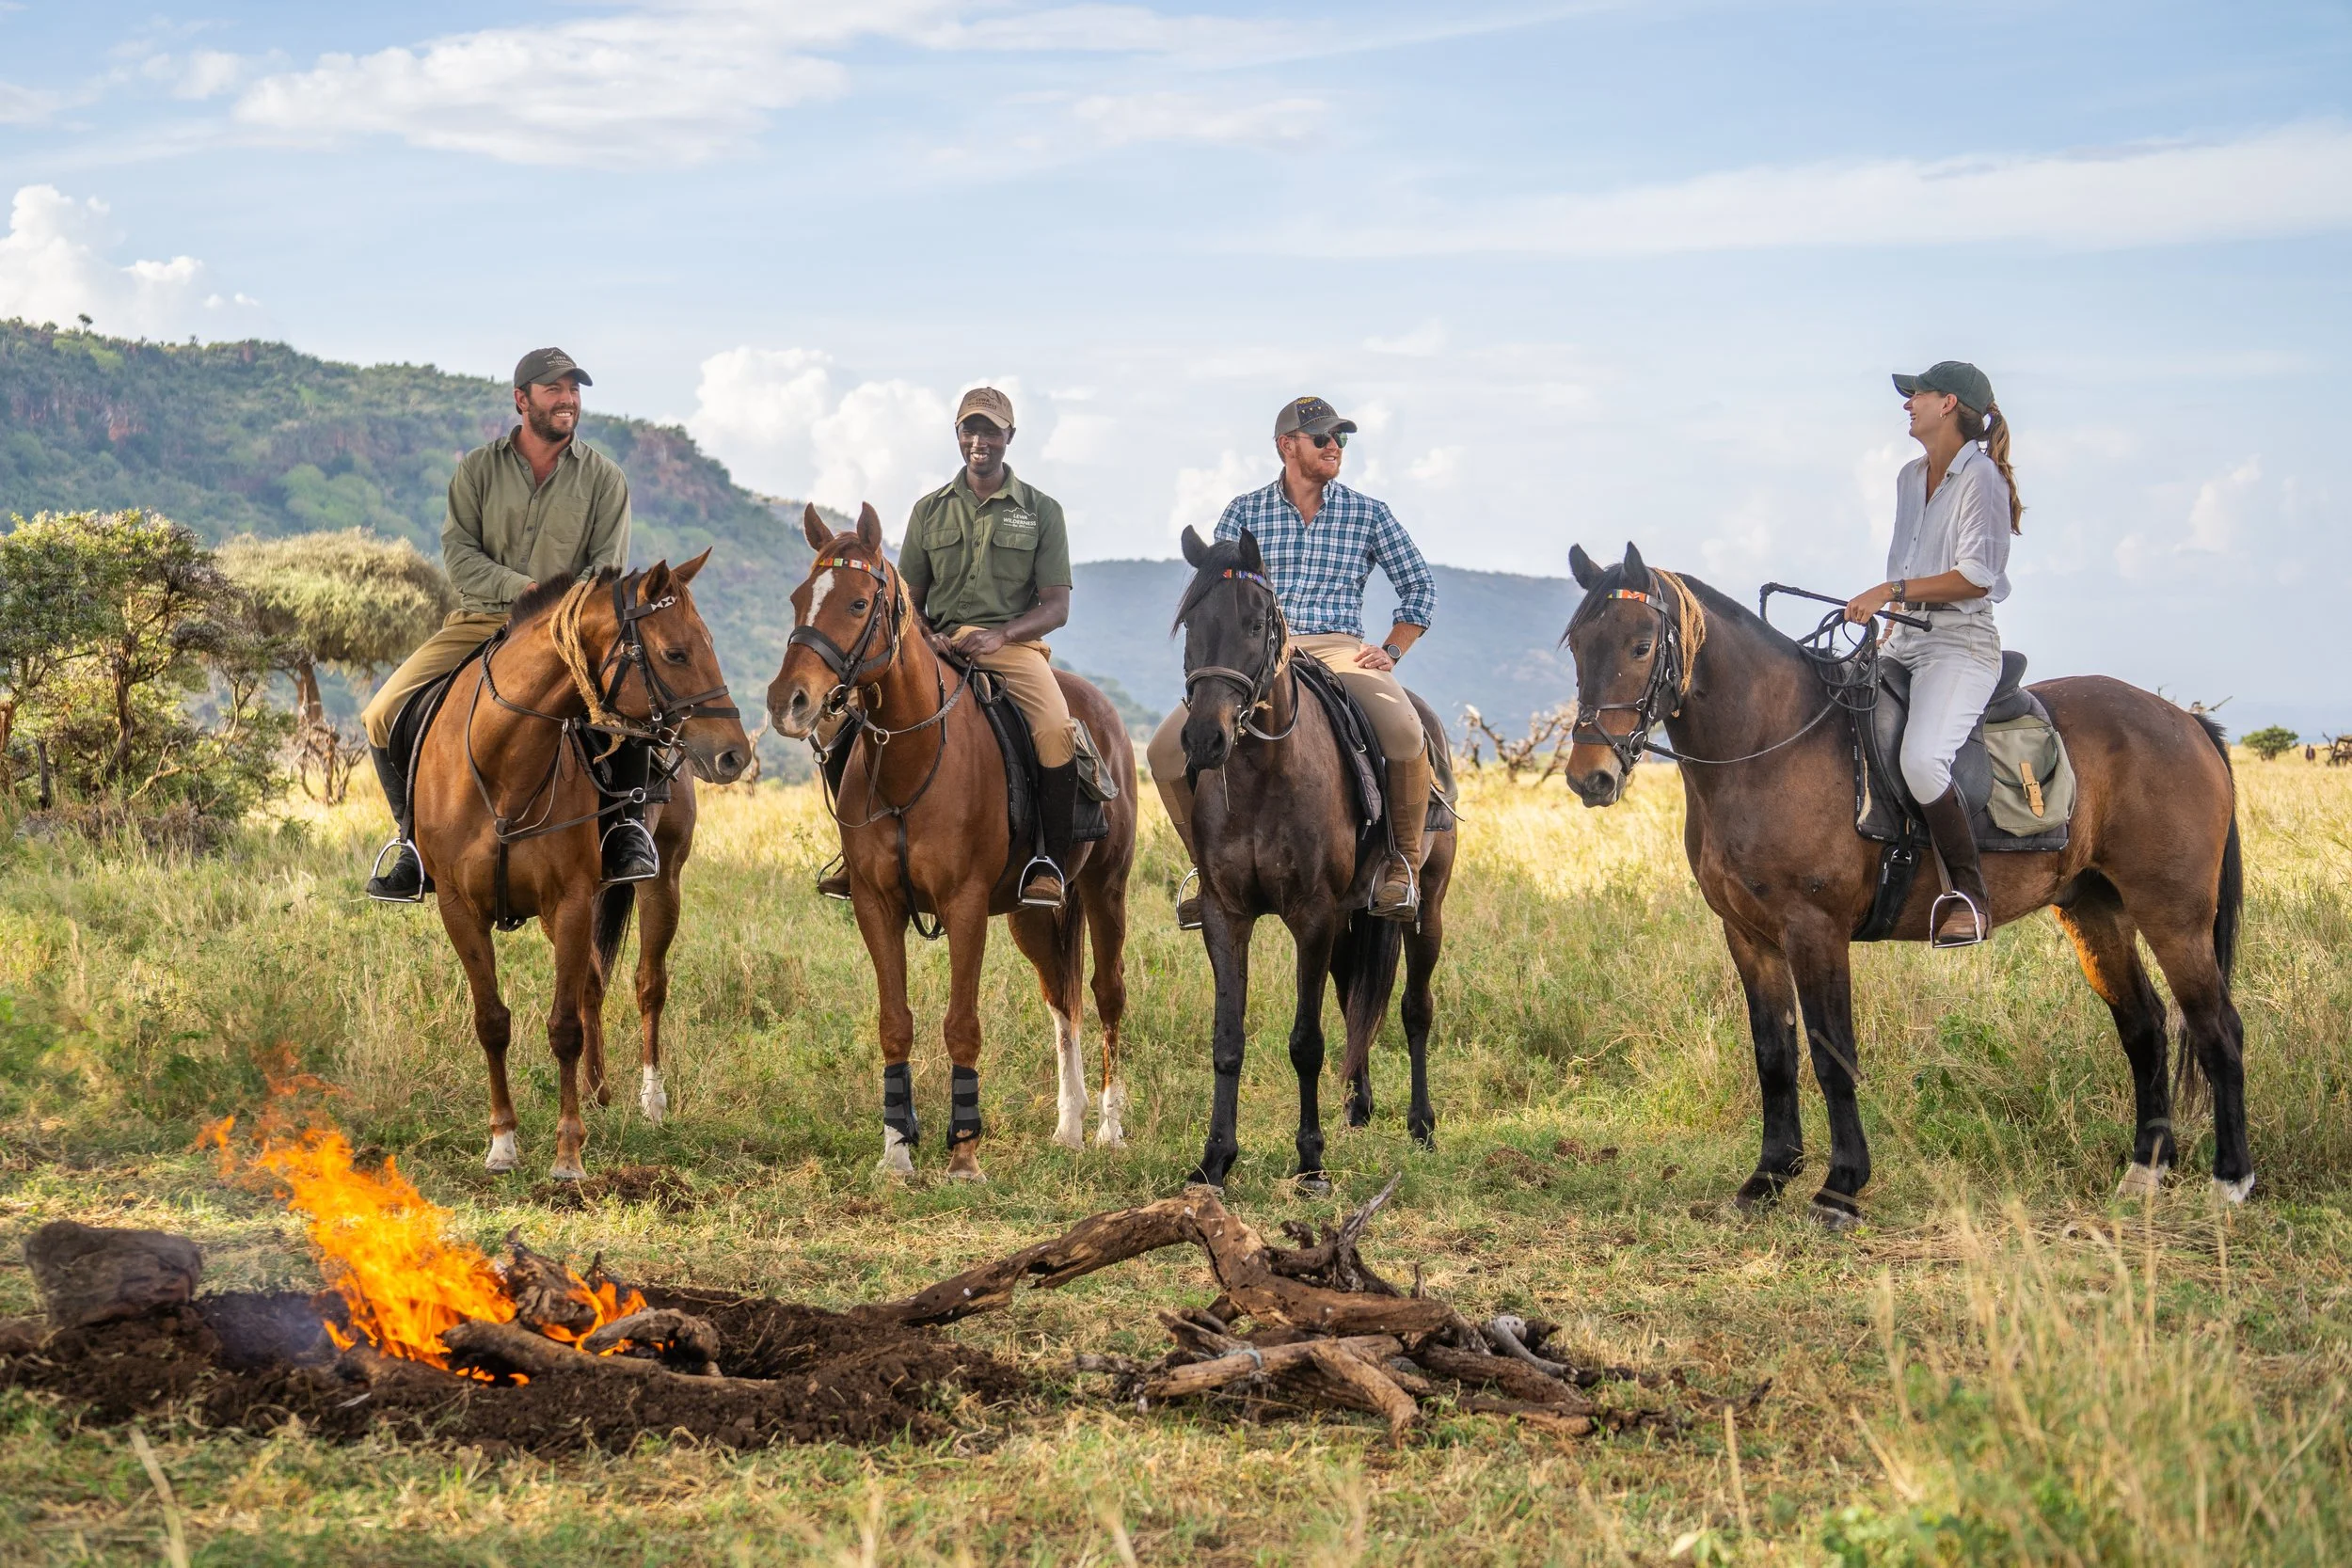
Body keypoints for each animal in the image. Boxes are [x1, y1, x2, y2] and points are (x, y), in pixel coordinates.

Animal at [411, 553, 749, 1181]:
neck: (504, 763)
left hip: (661, 883)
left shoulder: (568, 900)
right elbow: (492, 1021)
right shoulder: (459, 908)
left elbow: (562, 1027)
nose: (733, 754)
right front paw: (502, 1143)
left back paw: (650, 1099)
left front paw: (568, 1153)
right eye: (676, 653)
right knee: (592, 980)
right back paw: (596, 1089)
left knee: (647, 983)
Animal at [764, 504, 1137, 1181]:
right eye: (800, 598)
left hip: (1106, 889)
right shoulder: (875, 905)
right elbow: (894, 1023)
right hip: (1032, 914)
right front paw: (895, 1151)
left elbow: (962, 1024)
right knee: (1062, 998)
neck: (911, 758)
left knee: (1106, 993)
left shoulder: (964, 906)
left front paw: (964, 1154)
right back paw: (1068, 1126)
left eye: (859, 603)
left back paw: (1107, 1128)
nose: (788, 702)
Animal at [1172, 527, 1457, 1193]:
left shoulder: (1313, 916)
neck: (1261, 772)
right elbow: (1228, 1039)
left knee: (1415, 1008)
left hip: (1425, 908)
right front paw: (1214, 1160)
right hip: (1353, 918)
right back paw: (1358, 1106)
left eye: (1256, 623)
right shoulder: (1227, 916)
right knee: (1356, 999)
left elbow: (1305, 1041)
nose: (1204, 739)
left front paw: (1310, 1162)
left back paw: (1422, 1125)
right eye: (1191, 622)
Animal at [1559, 543, 2249, 1224]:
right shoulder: (1748, 935)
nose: (1590, 777)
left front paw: (1840, 1187)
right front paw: (1769, 1176)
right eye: (1576, 646)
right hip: (2096, 913)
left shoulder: (1814, 930)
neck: (1768, 745)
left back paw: (2231, 1181)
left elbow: (1832, 1054)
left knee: (2217, 1028)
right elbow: (1774, 1055)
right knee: (2145, 1026)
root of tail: (2185, 722)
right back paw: (2145, 1171)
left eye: (1641, 645)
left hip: (2173, 915)